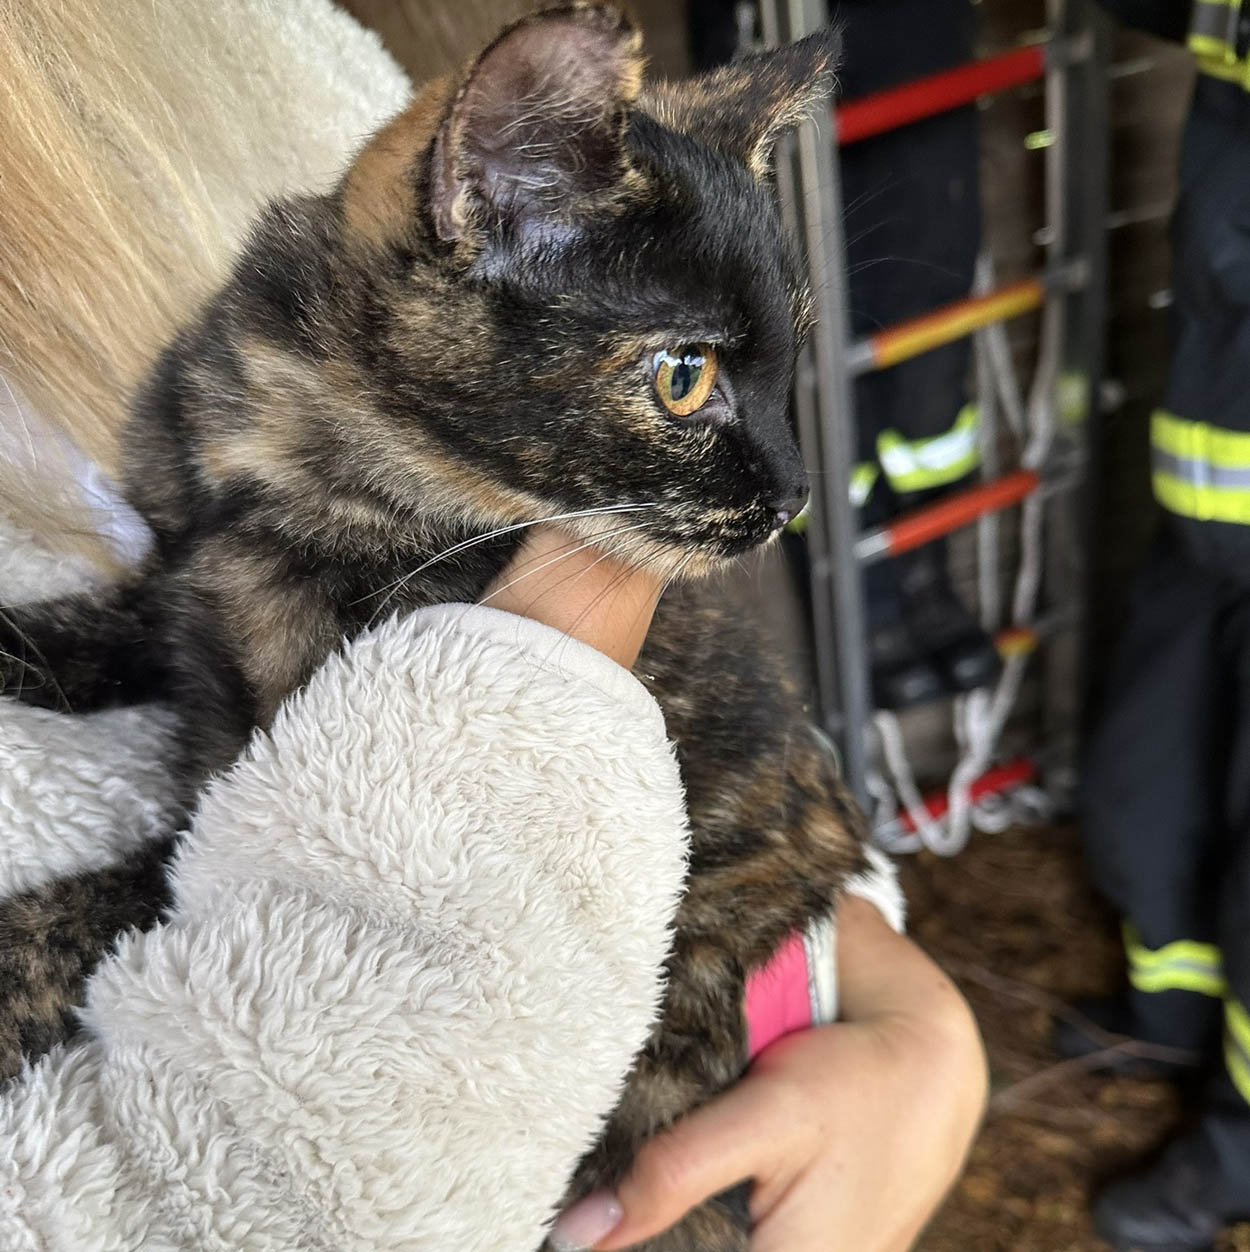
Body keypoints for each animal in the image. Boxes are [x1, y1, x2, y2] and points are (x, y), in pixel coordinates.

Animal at [0, 7, 871, 1241]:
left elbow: (97, 903)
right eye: (684, 376)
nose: (795, 494)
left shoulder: (253, 785)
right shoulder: (180, 572)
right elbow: (101, 618)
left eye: (792, 366)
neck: (292, 466)